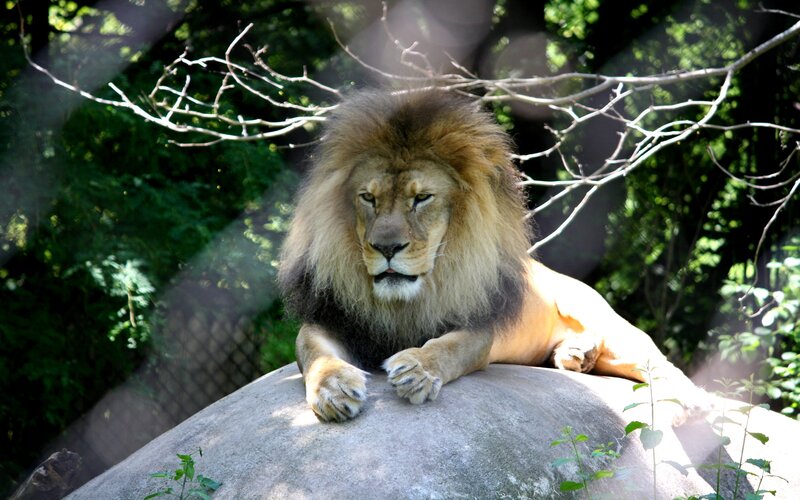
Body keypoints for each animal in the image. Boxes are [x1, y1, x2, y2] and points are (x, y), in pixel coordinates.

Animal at [278, 89, 707, 423]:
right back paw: (576, 354)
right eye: (368, 198)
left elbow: (448, 347)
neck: (405, 302)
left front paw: (418, 369)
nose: (386, 247)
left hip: (610, 325)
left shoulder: (478, 326)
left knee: (665, 368)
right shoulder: (332, 316)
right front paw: (334, 388)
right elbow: (310, 350)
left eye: (422, 198)